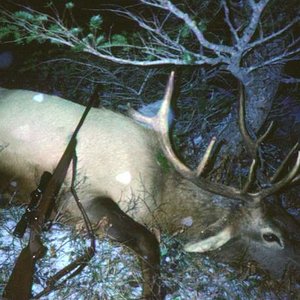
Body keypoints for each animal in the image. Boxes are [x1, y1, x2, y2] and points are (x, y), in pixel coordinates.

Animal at [0, 71, 298, 298]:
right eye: (271, 236)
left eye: (291, 220)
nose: (294, 275)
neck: (159, 193)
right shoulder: (78, 197)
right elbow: (148, 241)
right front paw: (151, 292)